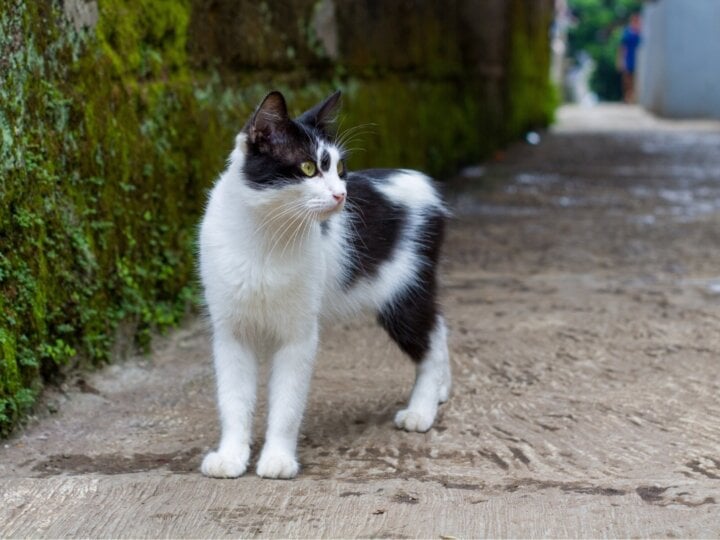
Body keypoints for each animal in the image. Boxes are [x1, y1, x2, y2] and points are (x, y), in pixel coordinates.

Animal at [198, 90, 450, 478]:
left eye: (340, 170)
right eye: (307, 168)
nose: (341, 195)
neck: (265, 237)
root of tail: (423, 181)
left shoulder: (299, 333)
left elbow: (287, 402)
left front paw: (277, 459)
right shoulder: (230, 331)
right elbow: (233, 398)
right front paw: (230, 456)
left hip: (403, 291)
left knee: (432, 339)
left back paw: (422, 409)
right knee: (439, 326)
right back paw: (440, 391)